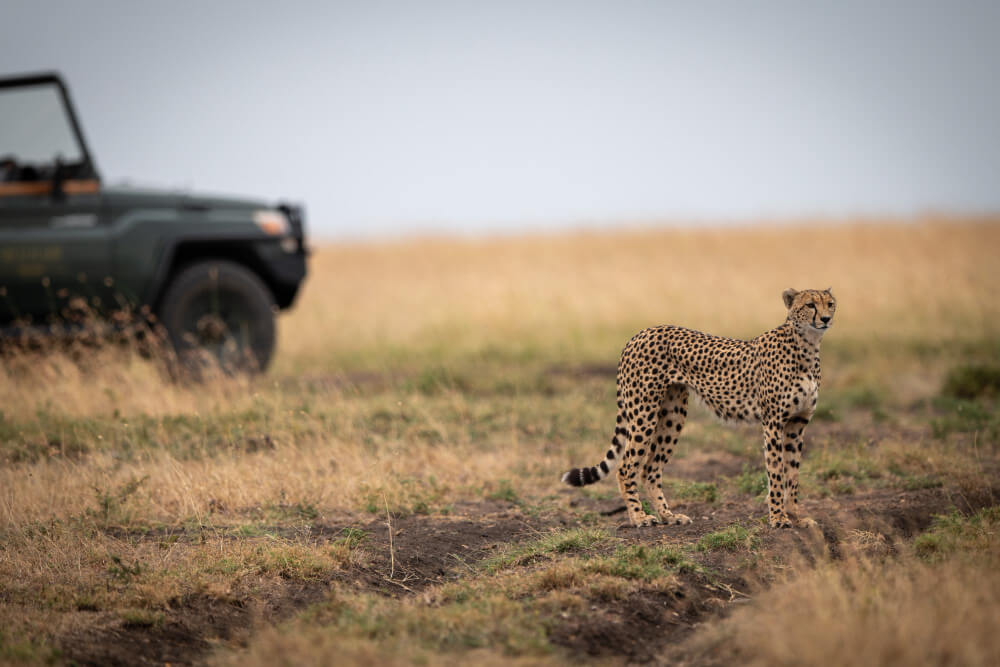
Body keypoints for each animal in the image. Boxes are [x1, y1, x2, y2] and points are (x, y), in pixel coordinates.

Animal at [562, 288, 836, 528]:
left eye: (830, 303)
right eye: (810, 304)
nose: (825, 318)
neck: (806, 347)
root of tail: (640, 333)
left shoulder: (797, 424)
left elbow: (793, 475)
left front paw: (797, 518)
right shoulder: (773, 423)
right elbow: (777, 474)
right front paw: (779, 519)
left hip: (672, 416)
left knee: (650, 469)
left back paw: (668, 516)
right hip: (644, 413)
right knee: (626, 467)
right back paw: (640, 518)